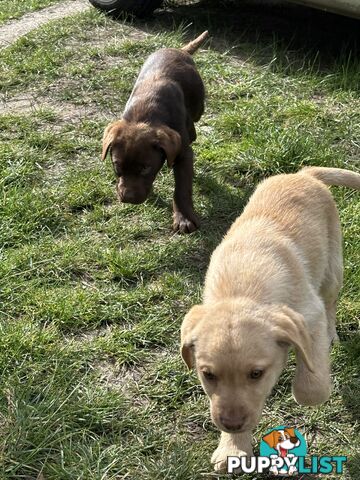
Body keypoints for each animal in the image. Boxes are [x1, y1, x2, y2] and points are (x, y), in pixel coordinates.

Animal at [101, 31, 208, 233]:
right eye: (117, 166)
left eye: (145, 168)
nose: (128, 198)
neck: (145, 113)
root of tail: (180, 50)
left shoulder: (183, 153)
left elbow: (182, 188)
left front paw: (183, 218)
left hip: (198, 103)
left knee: (194, 124)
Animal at [181, 167, 358, 470]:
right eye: (208, 374)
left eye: (256, 374)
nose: (231, 423)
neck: (241, 287)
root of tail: (303, 173)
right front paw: (233, 449)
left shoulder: (310, 316)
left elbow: (311, 383)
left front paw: (312, 387)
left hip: (333, 269)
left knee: (331, 302)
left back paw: (332, 335)